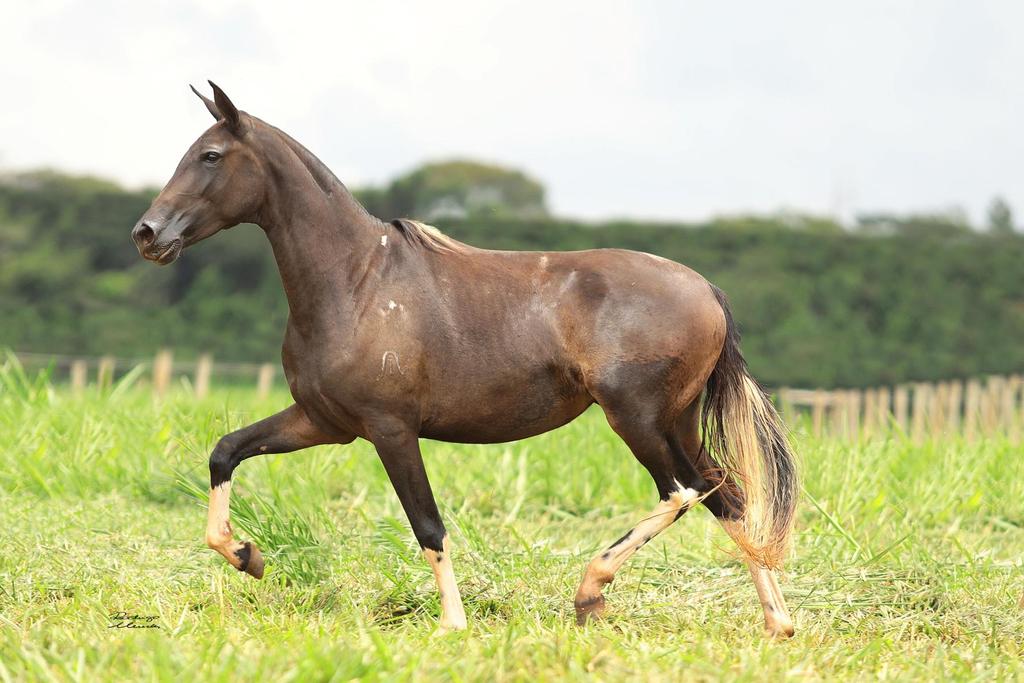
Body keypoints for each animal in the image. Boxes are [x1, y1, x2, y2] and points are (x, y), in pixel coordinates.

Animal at [130, 82, 798, 638]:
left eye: (210, 156)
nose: (147, 234)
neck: (355, 282)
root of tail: (706, 289)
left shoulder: (390, 429)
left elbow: (427, 524)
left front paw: (452, 624)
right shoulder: (322, 422)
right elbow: (225, 452)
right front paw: (247, 556)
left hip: (634, 418)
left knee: (683, 491)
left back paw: (591, 593)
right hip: (675, 422)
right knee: (727, 497)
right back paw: (778, 623)